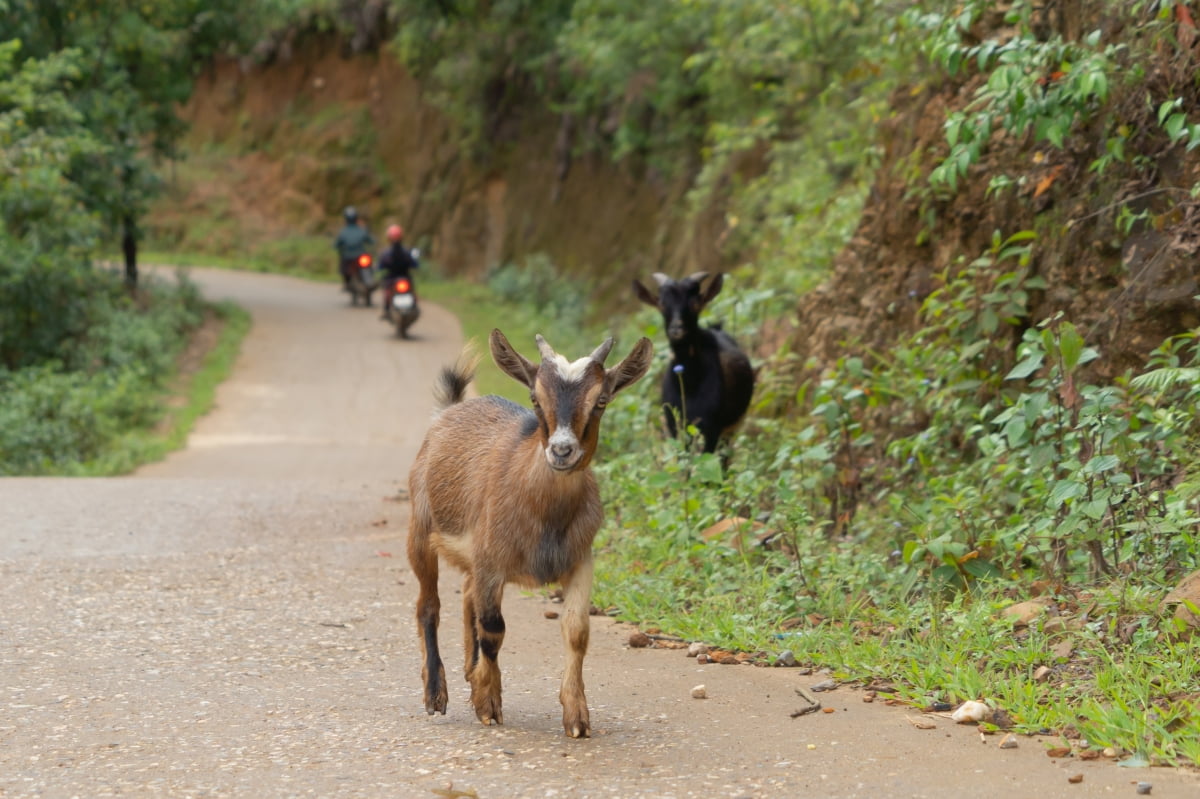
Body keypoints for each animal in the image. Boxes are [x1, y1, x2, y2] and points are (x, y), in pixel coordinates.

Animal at [405, 326, 652, 739]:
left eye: (601, 401)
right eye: (535, 398)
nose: (562, 450)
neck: (544, 516)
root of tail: (450, 411)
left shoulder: (580, 560)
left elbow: (577, 631)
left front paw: (577, 717)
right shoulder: (492, 562)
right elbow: (493, 628)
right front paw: (488, 705)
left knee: (467, 595)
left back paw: (471, 673)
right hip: (420, 530)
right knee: (429, 605)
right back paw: (436, 694)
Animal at [633, 271, 753, 451]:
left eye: (695, 302)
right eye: (662, 303)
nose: (677, 329)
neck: (690, 384)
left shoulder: (711, 428)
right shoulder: (675, 426)